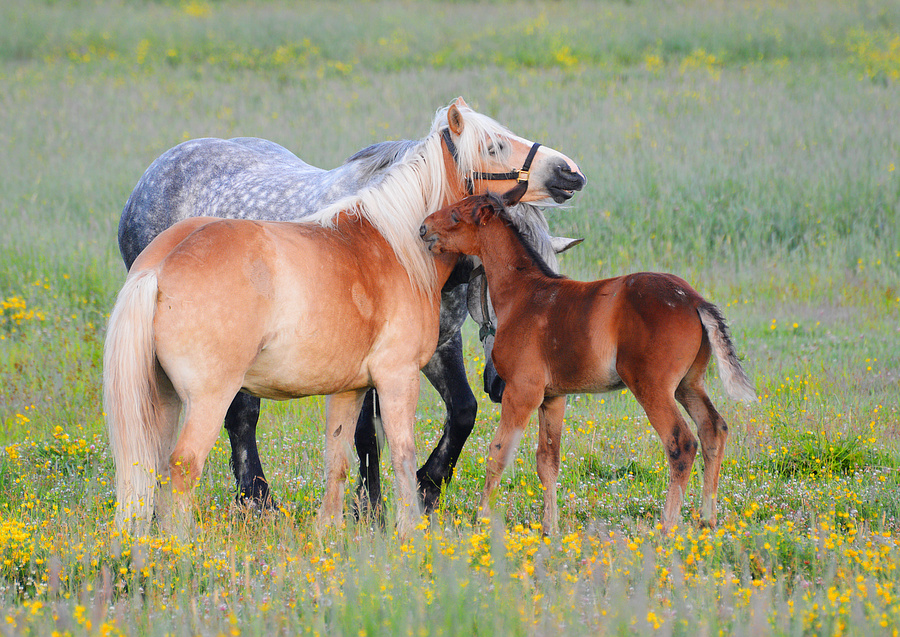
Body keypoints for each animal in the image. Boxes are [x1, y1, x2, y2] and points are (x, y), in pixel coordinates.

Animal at [106, 100, 585, 535]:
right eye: (494, 145)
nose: (570, 173)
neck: (393, 244)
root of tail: (159, 266)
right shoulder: (394, 373)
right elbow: (389, 447)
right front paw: (391, 517)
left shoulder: (379, 372)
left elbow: (354, 449)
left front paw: (355, 520)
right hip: (211, 391)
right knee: (200, 452)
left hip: (163, 394)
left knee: (158, 460)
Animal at [419, 187, 756, 534]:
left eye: (456, 215)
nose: (423, 228)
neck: (522, 294)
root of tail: (694, 300)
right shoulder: (553, 397)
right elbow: (547, 461)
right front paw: (549, 528)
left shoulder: (522, 392)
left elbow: (498, 452)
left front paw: (481, 519)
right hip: (688, 384)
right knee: (713, 429)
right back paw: (707, 520)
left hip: (652, 387)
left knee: (682, 443)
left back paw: (666, 527)